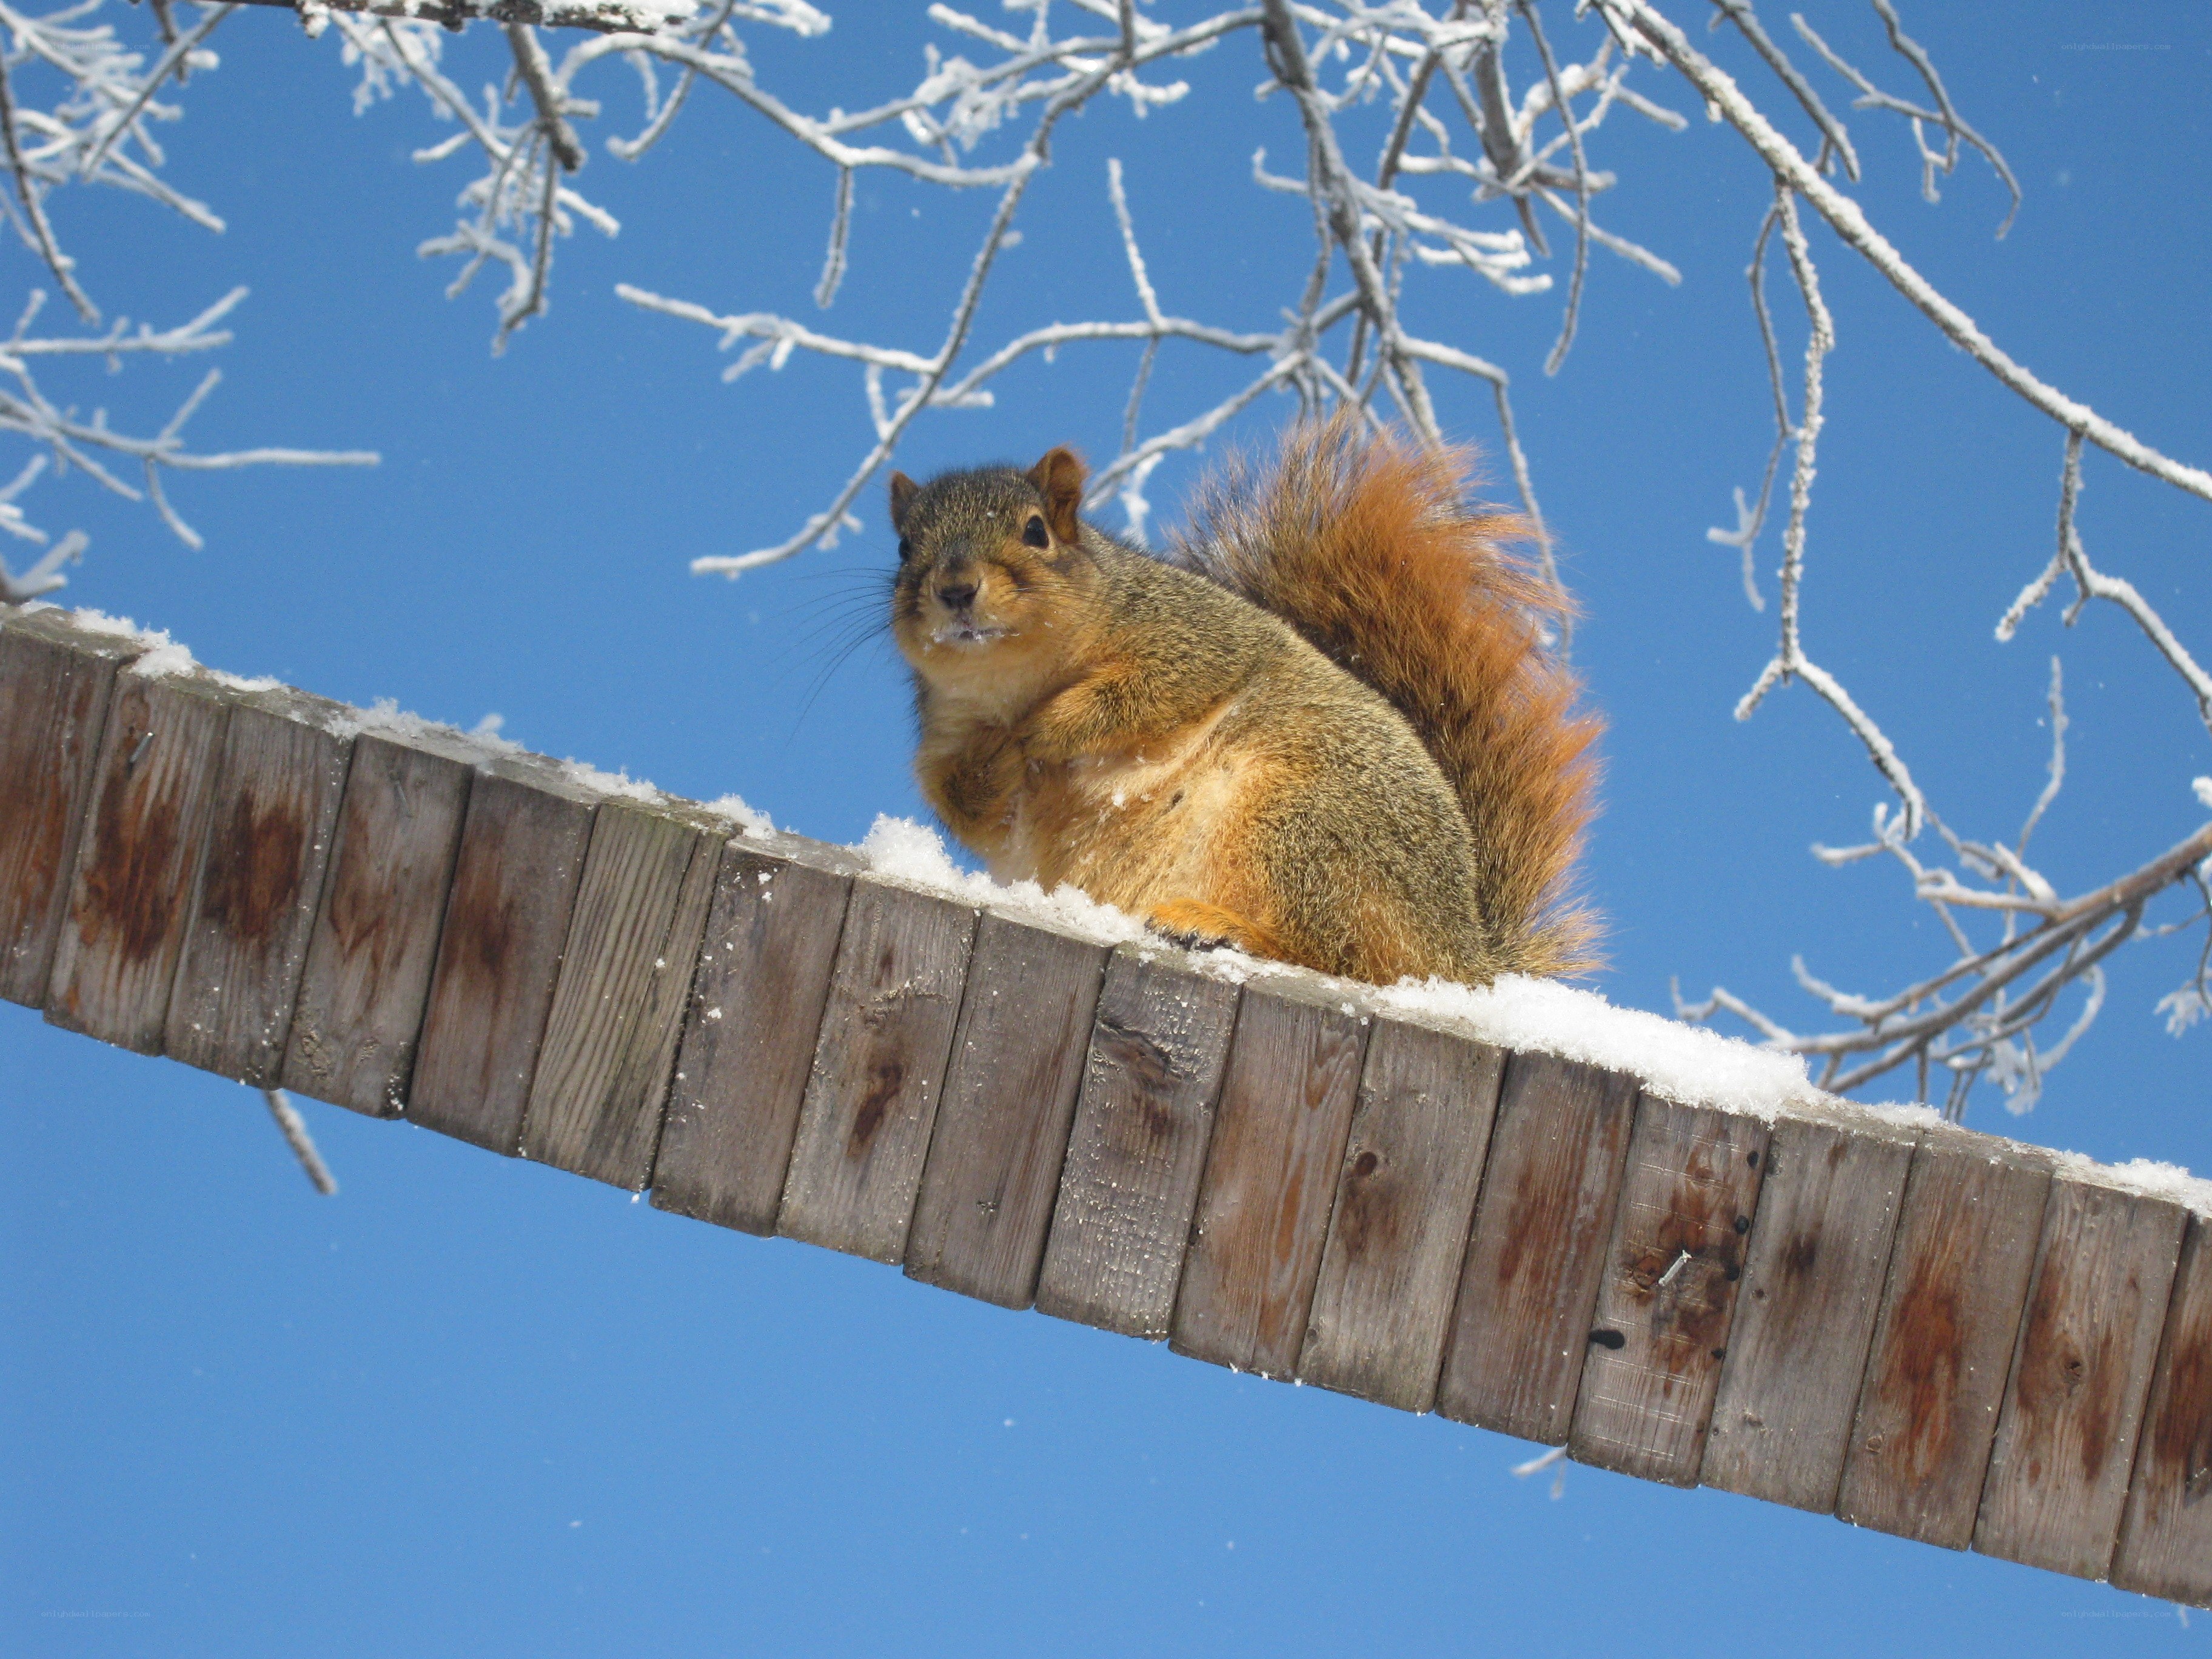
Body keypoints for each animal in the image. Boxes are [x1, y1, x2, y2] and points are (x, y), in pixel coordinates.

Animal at [885, 416, 1601, 987]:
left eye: (1036, 532)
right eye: (904, 548)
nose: (955, 588)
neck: (1015, 682)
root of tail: (1462, 949)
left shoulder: (1195, 640)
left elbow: (1143, 694)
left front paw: (1044, 730)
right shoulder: (944, 734)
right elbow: (970, 807)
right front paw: (996, 764)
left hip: (1302, 823)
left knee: (1340, 955)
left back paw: (1219, 926)